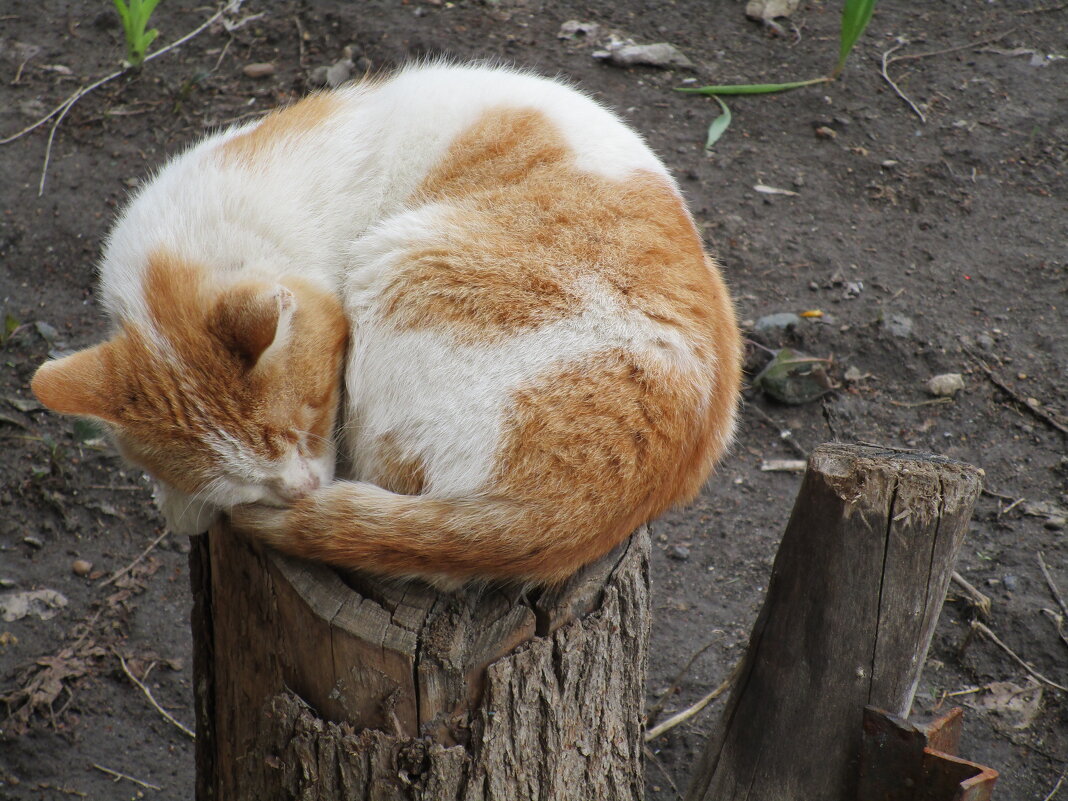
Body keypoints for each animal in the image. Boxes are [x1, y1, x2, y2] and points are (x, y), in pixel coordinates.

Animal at [29, 62, 739, 585]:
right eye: (242, 479)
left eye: (311, 415)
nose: (298, 490)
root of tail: (573, 513)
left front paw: (186, 508)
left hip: (397, 260)